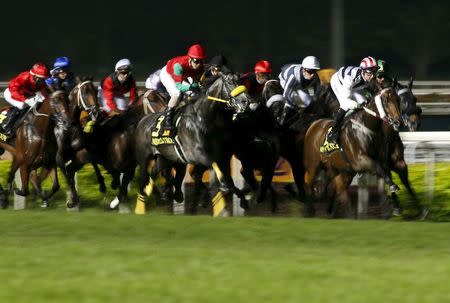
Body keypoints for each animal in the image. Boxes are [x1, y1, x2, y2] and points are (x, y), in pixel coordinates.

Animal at [135, 74, 251, 216]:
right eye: (230, 83)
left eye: (240, 81)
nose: (246, 101)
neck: (202, 118)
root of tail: (142, 120)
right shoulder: (199, 155)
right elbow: (217, 172)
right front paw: (221, 196)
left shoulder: (221, 156)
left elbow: (225, 178)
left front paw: (242, 199)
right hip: (144, 157)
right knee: (144, 179)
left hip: (165, 158)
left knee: (155, 173)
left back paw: (169, 194)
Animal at [304, 88, 402, 218]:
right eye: (385, 101)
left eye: (398, 100)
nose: (398, 122)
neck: (366, 129)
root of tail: (314, 125)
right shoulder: (359, 161)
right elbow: (377, 167)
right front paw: (393, 187)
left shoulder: (380, 161)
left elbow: (384, 175)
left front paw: (393, 207)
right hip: (313, 164)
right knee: (308, 181)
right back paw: (309, 210)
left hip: (343, 170)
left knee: (340, 188)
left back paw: (339, 213)